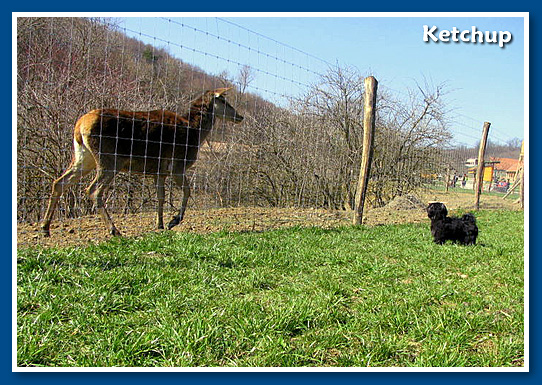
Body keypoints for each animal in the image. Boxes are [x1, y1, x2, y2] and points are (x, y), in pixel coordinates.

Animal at [41, 88, 245, 237]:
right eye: (224, 101)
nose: (240, 116)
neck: (195, 133)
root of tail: (79, 126)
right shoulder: (177, 165)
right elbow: (187, 191)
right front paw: (174, 220)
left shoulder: (159, 171)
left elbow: (161, 196)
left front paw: (160, 224)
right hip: (109, 159)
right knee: (93, 190)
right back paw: (114, 229)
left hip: (83, 158)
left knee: (59, 182)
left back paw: (45, 227)